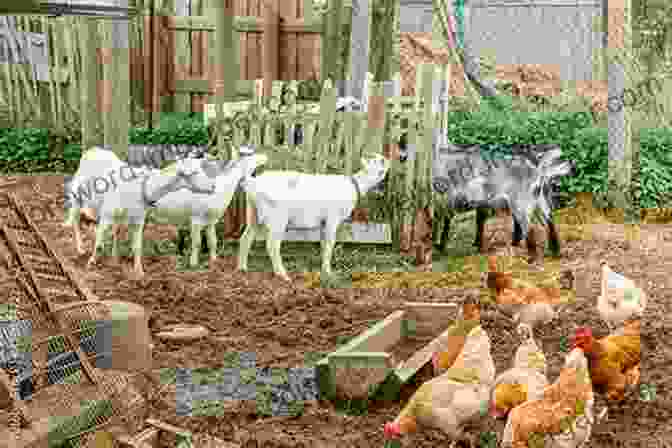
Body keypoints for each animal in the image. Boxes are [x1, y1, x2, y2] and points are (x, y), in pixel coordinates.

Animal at [239, 154, 392, 280]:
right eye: (381, 160)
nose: (389, 160)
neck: (355, 185)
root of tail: (252, 183)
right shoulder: (332, 219)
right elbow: (330, 243)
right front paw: (328, 272)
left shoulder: (324, 222)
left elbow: (324, 244)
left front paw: (324, 269)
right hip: (277, 218)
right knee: (272, 245)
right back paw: (283, 275)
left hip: (253, 213)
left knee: (245, 238)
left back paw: (242, 268)